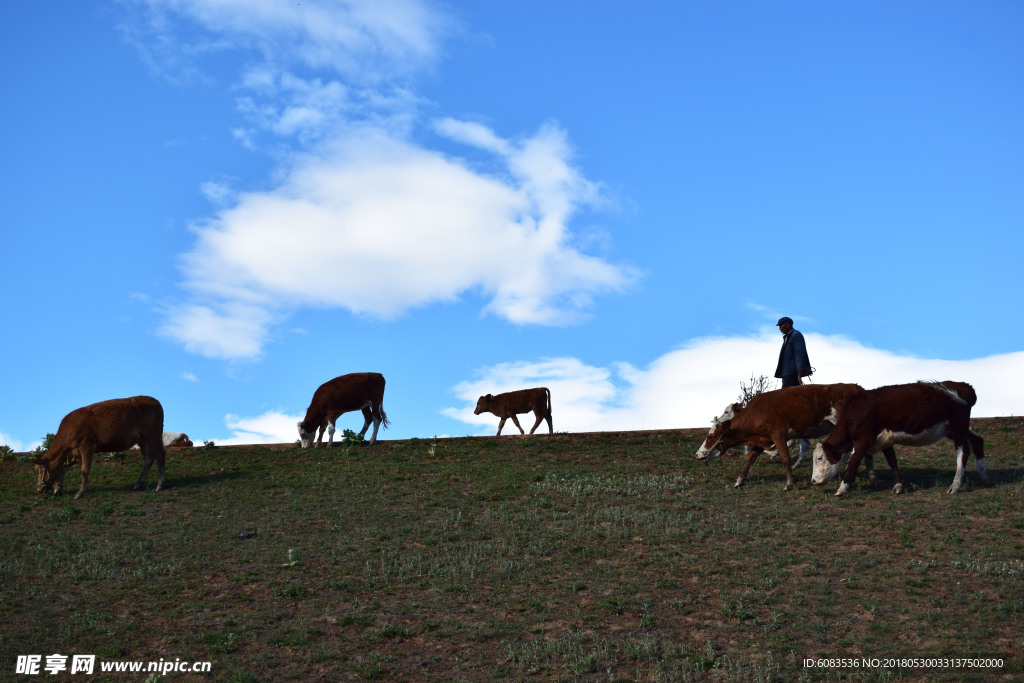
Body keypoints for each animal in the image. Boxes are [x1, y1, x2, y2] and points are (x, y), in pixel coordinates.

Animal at [35, 393, 167, 499]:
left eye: (39, 470)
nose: (39, 489)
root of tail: (156, 401)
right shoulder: (73, 453)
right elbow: (63, 470)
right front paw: (57, 489)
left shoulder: (86, 446)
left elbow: (85, 470)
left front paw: (80, 492)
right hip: (143, 439)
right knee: (149, 457)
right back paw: (138, 484)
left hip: (153, 434)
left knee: (160, 453)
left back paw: (160, 484)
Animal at [692, 385, 868, 491]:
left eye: (710, 436)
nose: (697, 454)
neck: (755, 413)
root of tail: (857, 388)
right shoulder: (762, 439)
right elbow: (750, 458)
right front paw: (740, 480)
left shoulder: (778, 435)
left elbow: (785, 457)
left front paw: (789, 483)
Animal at [811, 378, 987, 497]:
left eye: (820, 458)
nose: (813, 481)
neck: (857, 411)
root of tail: (965, 386)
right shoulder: (884, 440)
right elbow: (892, 461)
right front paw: (898, 486)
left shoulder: (862, 441)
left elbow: (853, 463)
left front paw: (841, 489)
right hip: (953, 429)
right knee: (977, 442)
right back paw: (984, 477)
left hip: (958, 427)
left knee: (963, 452)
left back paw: (955, 486)